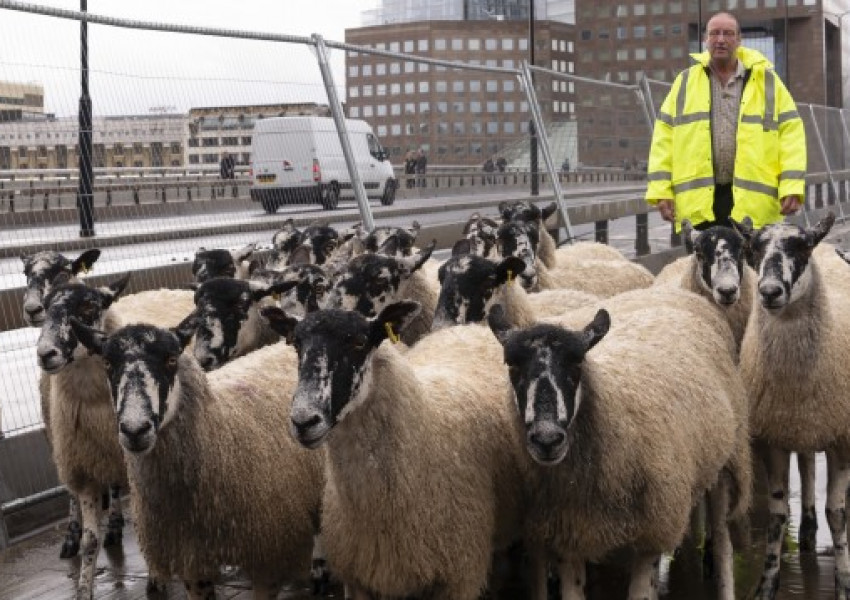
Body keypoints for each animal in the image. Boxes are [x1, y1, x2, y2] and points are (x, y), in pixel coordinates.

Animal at [264, 302, 528, 600]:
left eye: (359, 342)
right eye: (297, 344)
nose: (303, 421)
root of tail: (470, 329)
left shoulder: (458, 578)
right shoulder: (360, 579)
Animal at [486, 290, 752, 600]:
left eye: (577, 364)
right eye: (512, 365)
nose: (547, 439)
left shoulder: (652, 533)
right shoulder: (569, 535)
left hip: (727, 462)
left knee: (722, 546)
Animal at [736, 213, 850, 596]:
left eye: (802, 246)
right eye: (754, 248)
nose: (770, 292)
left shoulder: (842, 438)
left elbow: (838, 514)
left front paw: (844, 583)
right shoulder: (772, 436)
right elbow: (777, 514)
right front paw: (766, 585)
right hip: (801, 427)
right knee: (807, 466)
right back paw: (808, 531)